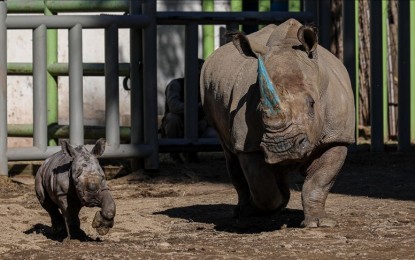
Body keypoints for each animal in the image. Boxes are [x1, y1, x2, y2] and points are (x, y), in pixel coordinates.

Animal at [201, 19, 354, 228]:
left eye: (312, 104)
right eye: (259, 110)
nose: (282, 148)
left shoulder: (337, 135)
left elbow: (319, 182)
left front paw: (318, 223)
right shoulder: (248, 145)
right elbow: (263, 187)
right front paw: (276, 202)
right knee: (230, 154)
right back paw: (244, 212)